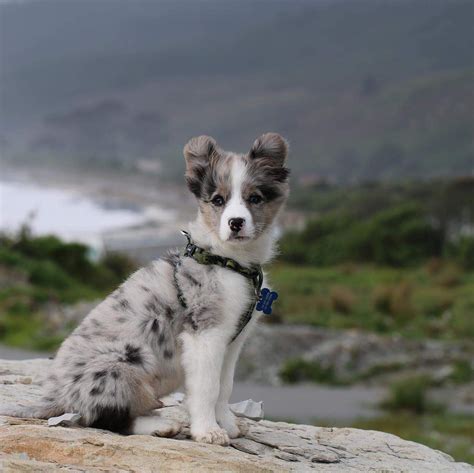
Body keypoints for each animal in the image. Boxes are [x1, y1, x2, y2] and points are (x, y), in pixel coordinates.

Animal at [0, 134, 290, 446]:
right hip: (124, 364)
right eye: (218, 200)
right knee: (104, 418)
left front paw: (228, 424)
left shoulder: (232, 340)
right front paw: (208, 431)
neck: (229, 260)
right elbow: (207, 388)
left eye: (255, 198)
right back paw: (160, 426)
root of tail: (54, 397)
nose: (236, 223)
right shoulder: (204, 334)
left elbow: (225, 386)